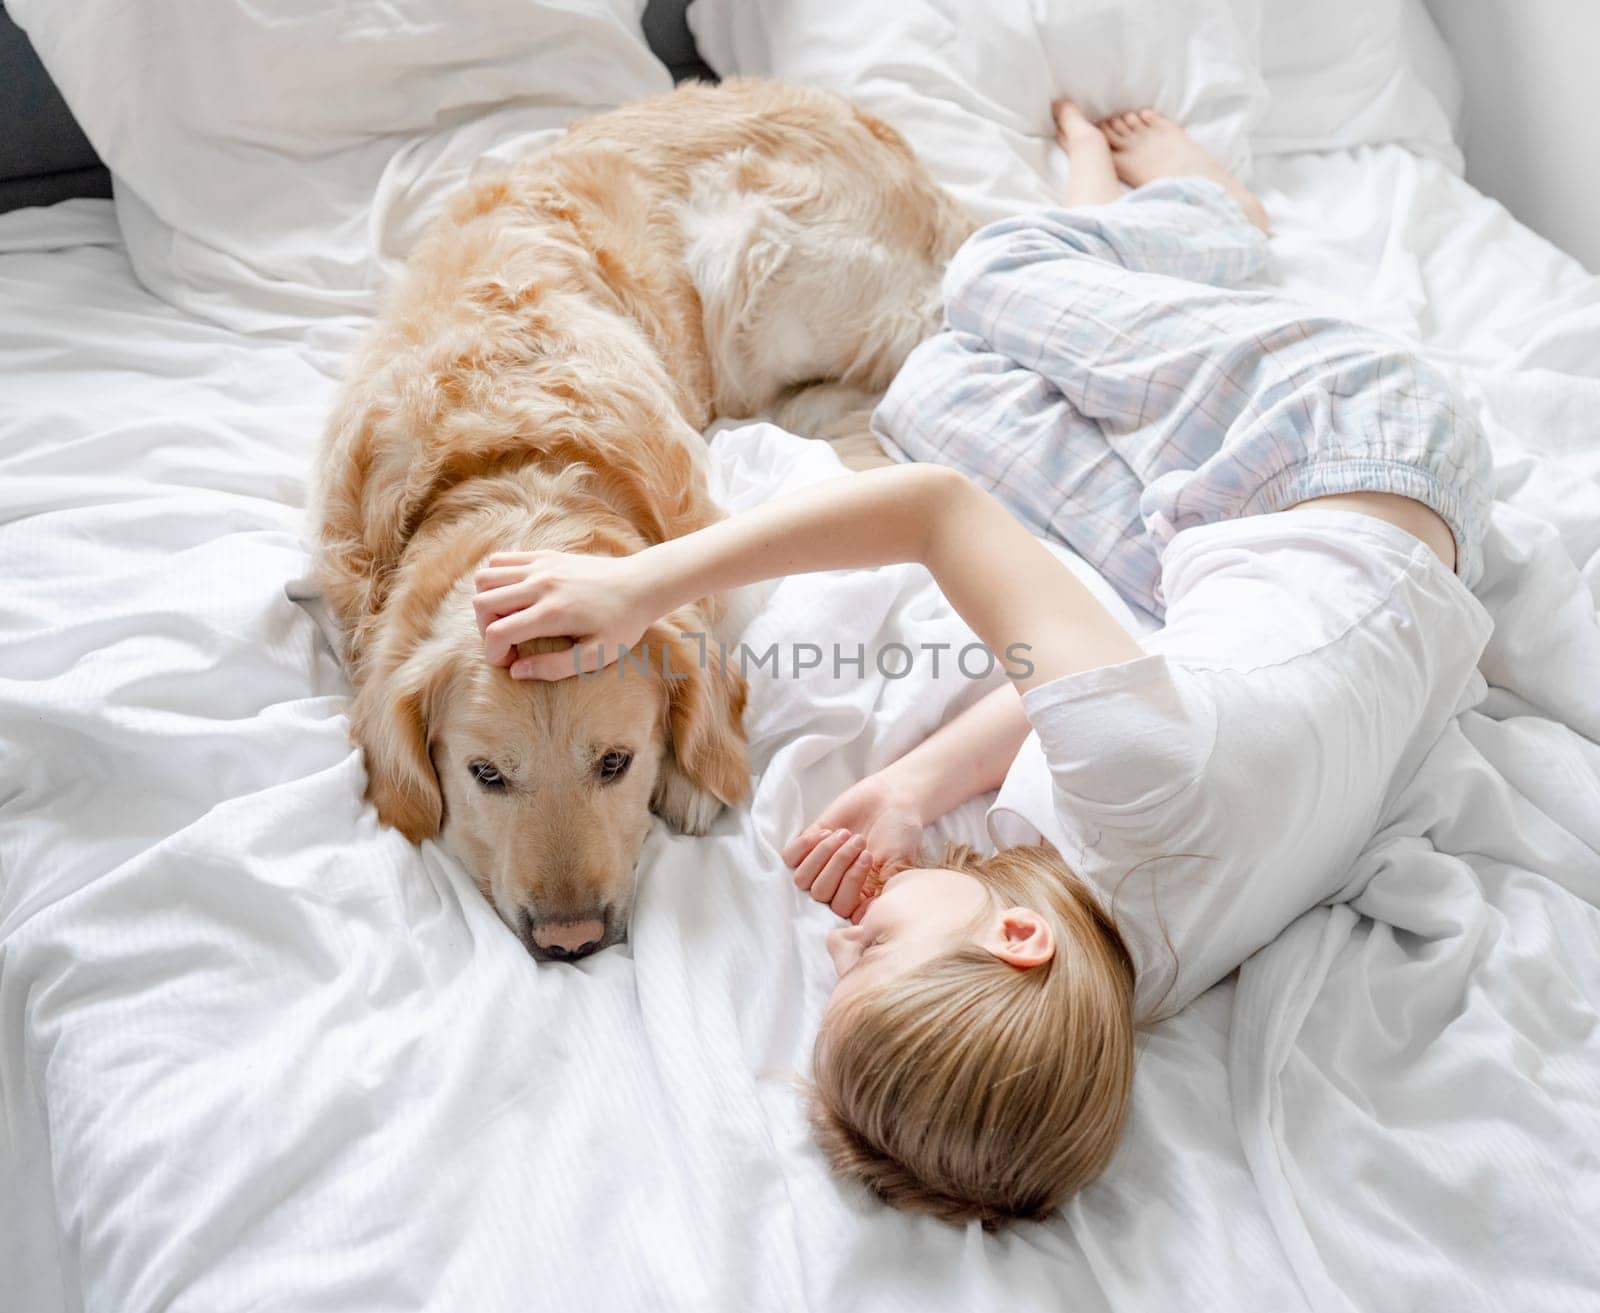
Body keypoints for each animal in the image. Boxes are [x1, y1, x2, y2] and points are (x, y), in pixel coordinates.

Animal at [307, 76, 966, 959]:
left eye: (617, 763)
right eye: (486, 775)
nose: (570, 940)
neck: (512, 469)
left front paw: (693, 779)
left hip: (752, 264)